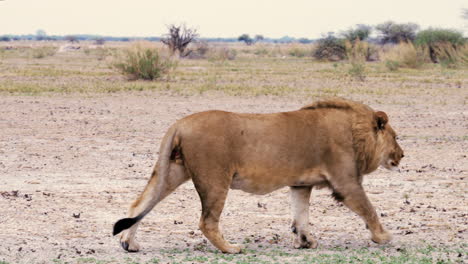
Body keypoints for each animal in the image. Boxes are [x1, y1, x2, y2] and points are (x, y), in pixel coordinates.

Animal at [112, 97, 402, 254]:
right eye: (396, 137)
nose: (402, 155)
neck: (356, 131)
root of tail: (179, 123)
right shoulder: (346, 183)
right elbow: (369, 209)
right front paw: (383, 237)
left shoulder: (300, 184)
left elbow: (301, 214)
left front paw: (305, 241)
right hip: (215, 179)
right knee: (207, 221)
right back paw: (230, 249)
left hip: (174, 171)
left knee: (140, 204)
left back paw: (129, 243)